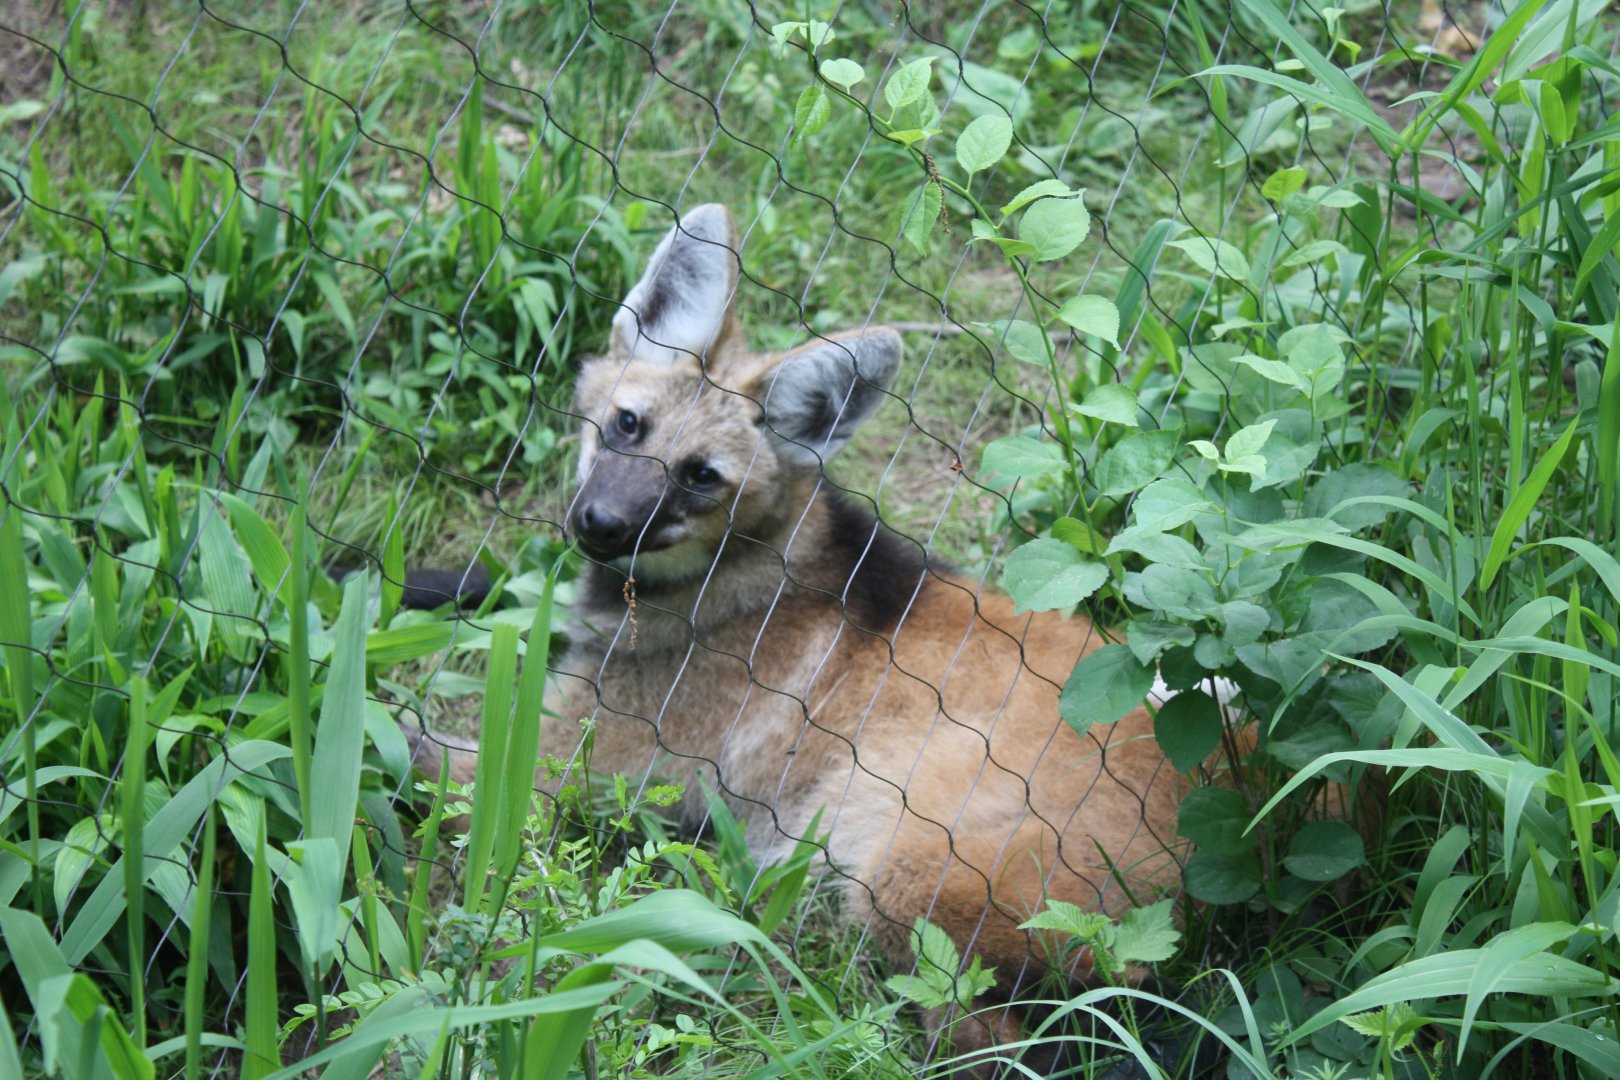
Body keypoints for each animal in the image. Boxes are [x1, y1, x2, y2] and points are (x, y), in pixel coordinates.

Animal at [419, 203, 1194, 1057]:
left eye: (700, 476)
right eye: (627, 426)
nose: (599, 525)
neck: (733, 574)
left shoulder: (568, 770)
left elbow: (412, 756)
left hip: (908, 871)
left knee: (999, 1035)